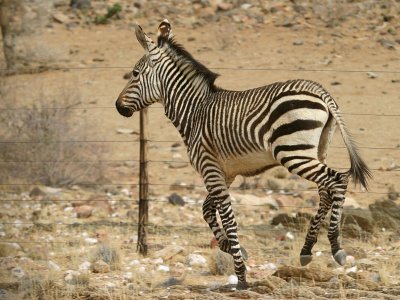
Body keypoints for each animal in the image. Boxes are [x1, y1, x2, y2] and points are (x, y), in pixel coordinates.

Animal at [115, 19, 372, 290]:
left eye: (134, 74)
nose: (118, 107)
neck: (195, 111)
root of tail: (321, 92)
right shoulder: (224, 173)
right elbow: (207, 210)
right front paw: (230, 248)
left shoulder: (209, 168)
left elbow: (227, 217)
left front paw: (241, 277)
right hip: (316, 150)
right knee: (325, 190)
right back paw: (306, 250)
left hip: (292, 153)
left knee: (338, 180)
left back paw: (336, 247)